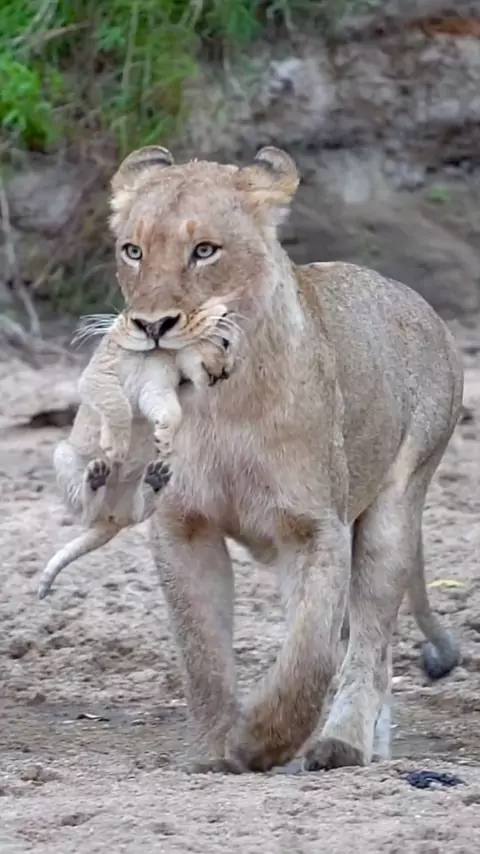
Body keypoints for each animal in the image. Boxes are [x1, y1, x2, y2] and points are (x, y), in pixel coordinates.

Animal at [37, 305, 236, 600]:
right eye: (225, 343)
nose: (226, 373)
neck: (162, 352)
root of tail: (112, 520)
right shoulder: (98, 374)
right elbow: (117, 404)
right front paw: (116, 446)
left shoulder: (156, 387)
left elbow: (169, 410)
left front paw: (163, 437)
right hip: (63, 454)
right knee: (85, 513)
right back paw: (97, 476)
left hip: (144, 498)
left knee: (139, 511)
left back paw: (154, 479)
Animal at [105, 142, 464, 773]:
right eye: (133, 251)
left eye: (205, 250)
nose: (152, 326)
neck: (222, 405)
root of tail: (418, 302)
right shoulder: (182, 525)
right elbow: (201, 650)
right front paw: (214, 752)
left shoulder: (315, 528)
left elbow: (309, 654)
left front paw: (261, 740)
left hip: (397, 505)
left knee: (369, 643)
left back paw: (344, 744)